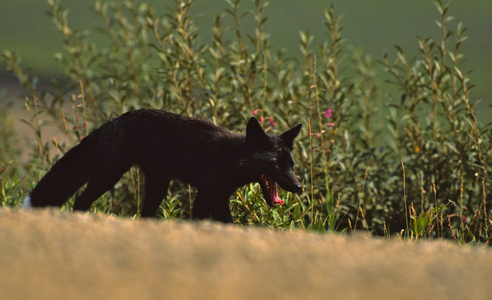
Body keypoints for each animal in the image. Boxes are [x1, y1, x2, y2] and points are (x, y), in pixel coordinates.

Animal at [24, 109, 304, 221]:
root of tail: (113, 121)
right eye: (276, 165)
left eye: (291, 165)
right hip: (108, 176)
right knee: (80, 200)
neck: (230, 157)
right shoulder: (212, 194)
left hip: (158, 185)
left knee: (145, 213)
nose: (299, 187)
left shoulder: (211, 195)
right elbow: (221, 221)